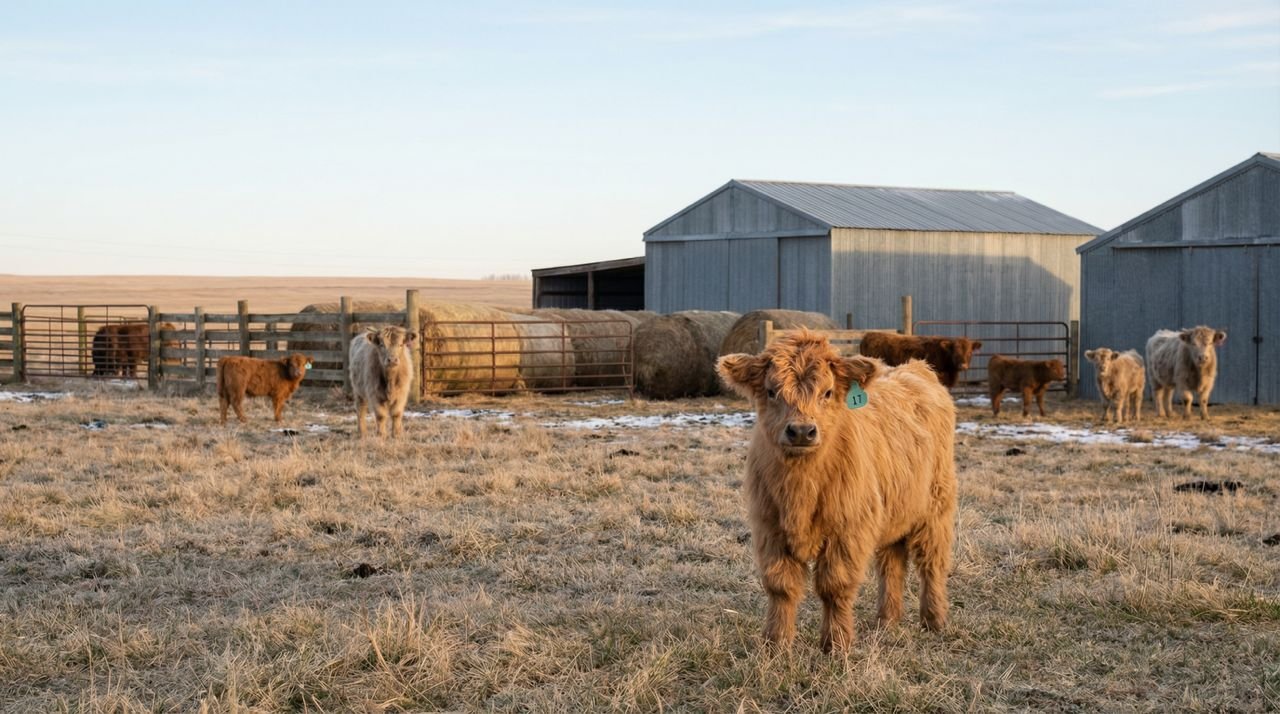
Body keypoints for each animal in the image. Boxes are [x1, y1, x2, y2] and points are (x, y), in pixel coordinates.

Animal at [717, 330, 957, 652]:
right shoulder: (770, 527)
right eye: (771, 391)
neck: (801, 488)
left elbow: (834, 586)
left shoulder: (848, 529)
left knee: (931, 563)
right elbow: (780, 586)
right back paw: (886, 620)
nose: (801, 431)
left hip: (935, 508)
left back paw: (934, 620)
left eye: (827, 392)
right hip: (894, 508)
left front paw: (836, 644)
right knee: (891, 563)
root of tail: (916, 369)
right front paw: (776, 644)